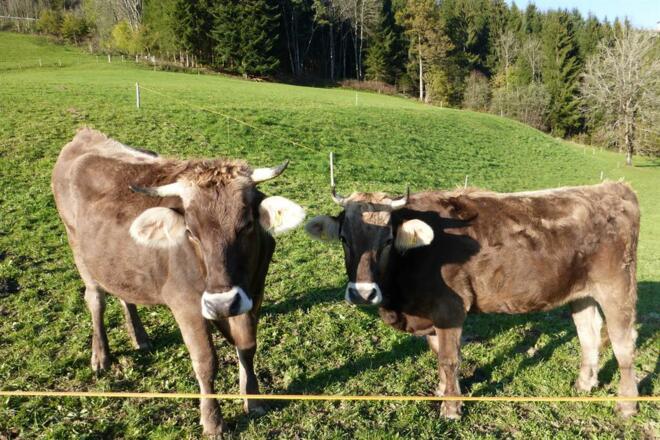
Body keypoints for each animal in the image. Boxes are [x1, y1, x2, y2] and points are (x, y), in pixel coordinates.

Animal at [51, 128, 306, 436]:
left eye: (246, 224)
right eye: (191, 232)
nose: (221, 303)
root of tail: (86, 135)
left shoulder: (253, 295)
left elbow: (247, 347)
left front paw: (253, 398)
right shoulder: (186, 306)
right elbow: (206, 361)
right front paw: (212, 421)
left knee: (125, 293)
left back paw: (140, 337)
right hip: (79, 250)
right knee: (95, 300)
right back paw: (100, 356)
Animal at [305, 181, 640, 419]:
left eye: (387, 240)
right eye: (344, 238)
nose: (363, 293)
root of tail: (612, 187)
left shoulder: (449, 309)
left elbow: (448, 358)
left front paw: (451, 409)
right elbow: (439, 354)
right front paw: (443, 390)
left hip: (617, 288)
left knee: (623, 343)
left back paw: (626, 405)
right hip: (581, 293)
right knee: (588, 334)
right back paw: (584, 385)